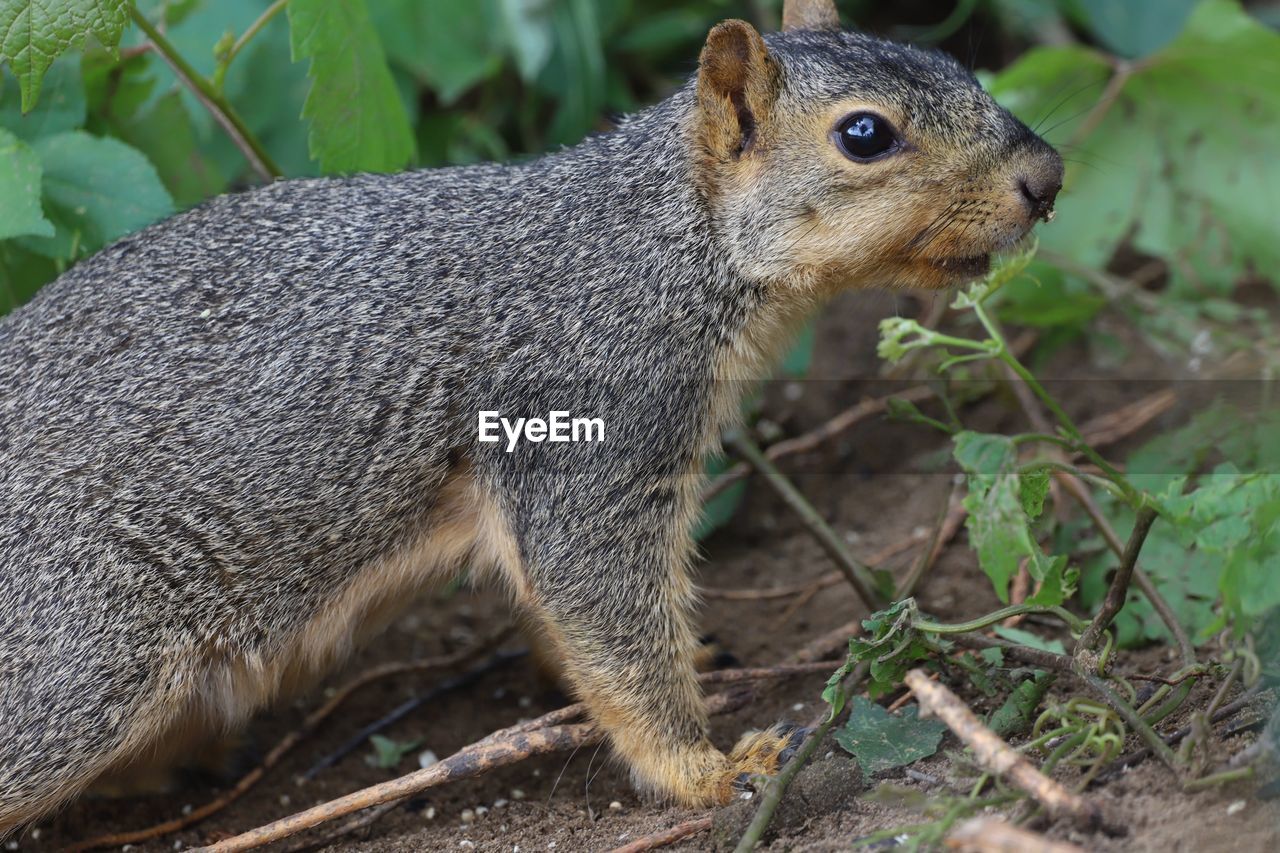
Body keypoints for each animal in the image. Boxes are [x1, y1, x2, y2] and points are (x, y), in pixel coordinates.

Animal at [0, 0, 1059, 829]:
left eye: (960, 68)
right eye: (865, 135)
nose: (1047, 178)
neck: (652, 240)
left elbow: (563, 616)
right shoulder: (588, 429)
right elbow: (607, 616)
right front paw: (709, 768)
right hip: (80, 659)